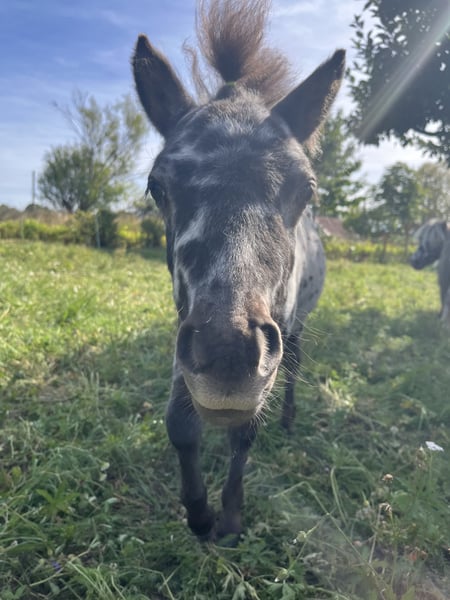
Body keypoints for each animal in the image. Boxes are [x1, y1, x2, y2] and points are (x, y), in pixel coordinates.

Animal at [132, 0, 345, 542]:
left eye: (306, 188)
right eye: (157, 186)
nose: (229, 356)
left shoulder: (273, 336)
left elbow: (245, 433)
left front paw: (228, 517)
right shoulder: (183, 330)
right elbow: (180, 422)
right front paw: (199, 515)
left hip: (295, 327)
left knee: (295, 367)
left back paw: (289, 418)